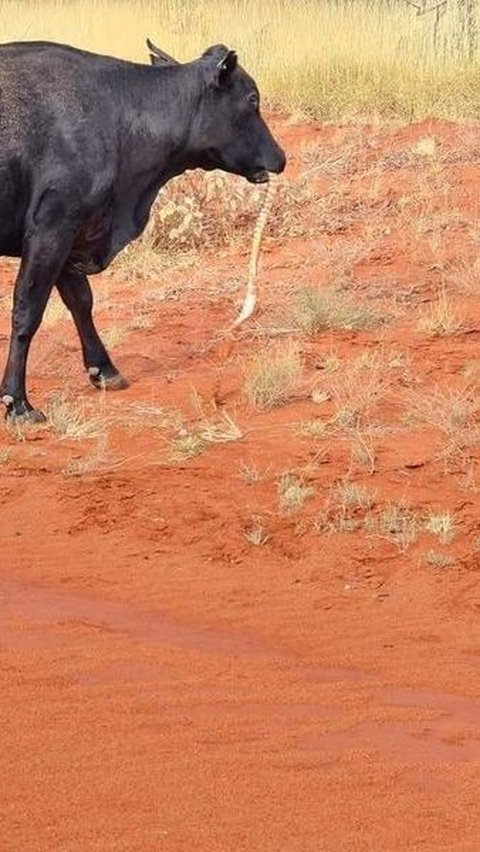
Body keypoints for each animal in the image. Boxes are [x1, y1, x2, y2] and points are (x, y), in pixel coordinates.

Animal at [0, 39, 284, 420]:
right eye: (252, 98)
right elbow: (27, 310)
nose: (280, 157)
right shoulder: (53, 227)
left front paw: (105, 370)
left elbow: (81, 301)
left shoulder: (70, 233)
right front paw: (17, 402)